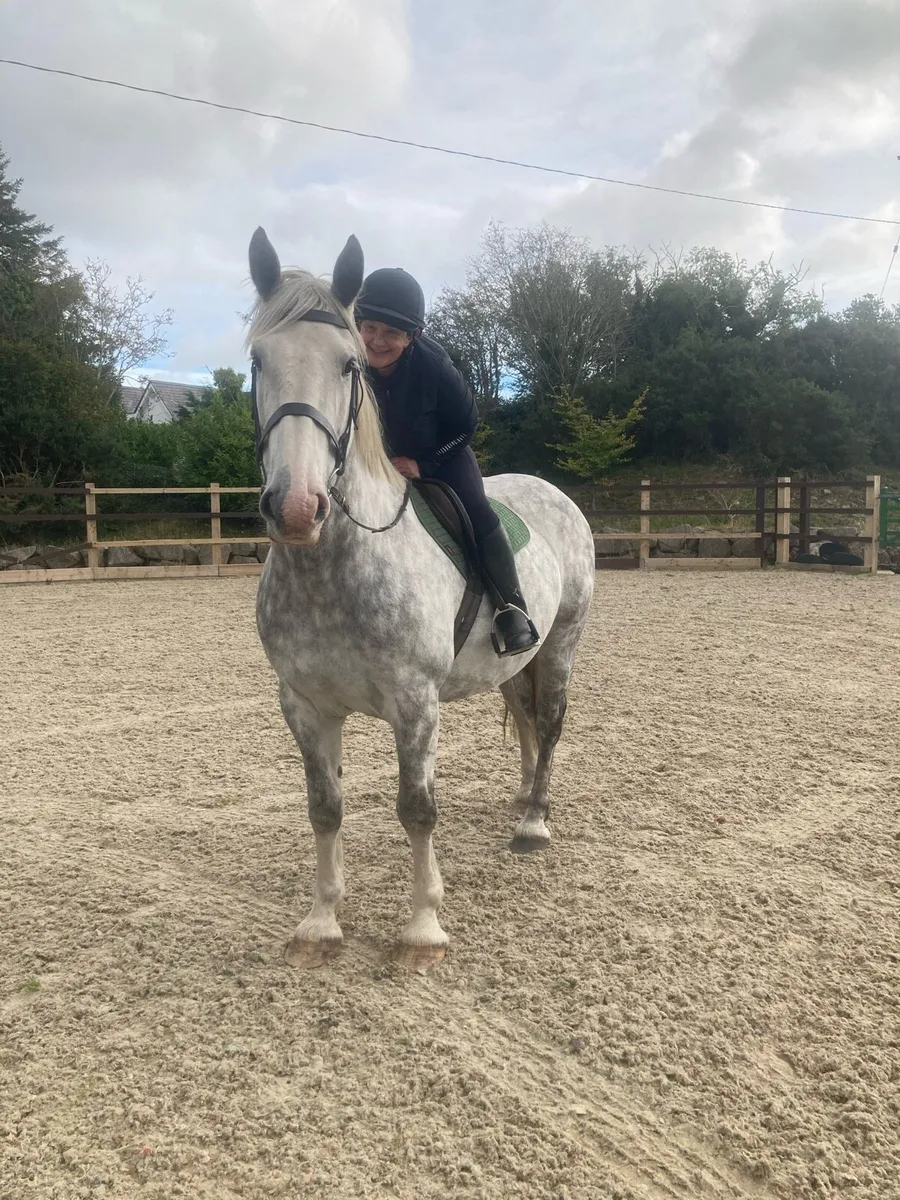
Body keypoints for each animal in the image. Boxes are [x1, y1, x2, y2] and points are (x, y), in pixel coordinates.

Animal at [247, 227, 595, 971]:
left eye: (349, 365)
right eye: (259, 360)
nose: (296, 508)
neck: (333, 570)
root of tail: (550, 490)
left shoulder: (414, 703)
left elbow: (416, 809)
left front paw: (422, 929)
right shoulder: (305, 704)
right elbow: (325, 807)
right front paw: (321, 923)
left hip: (561, 643)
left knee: (550, 722)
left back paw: (534, 822)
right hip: (512, 662)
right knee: (527, 718)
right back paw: (524, 794)